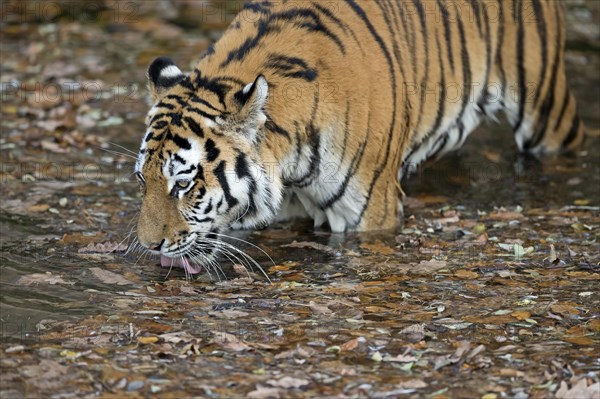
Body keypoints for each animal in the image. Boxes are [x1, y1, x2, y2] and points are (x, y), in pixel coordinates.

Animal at [134, 0, 584, 274]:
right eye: (143, 180)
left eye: (184, 184)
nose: (149, 247)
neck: (288, 165)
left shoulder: (368, 212)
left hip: (546, 104)